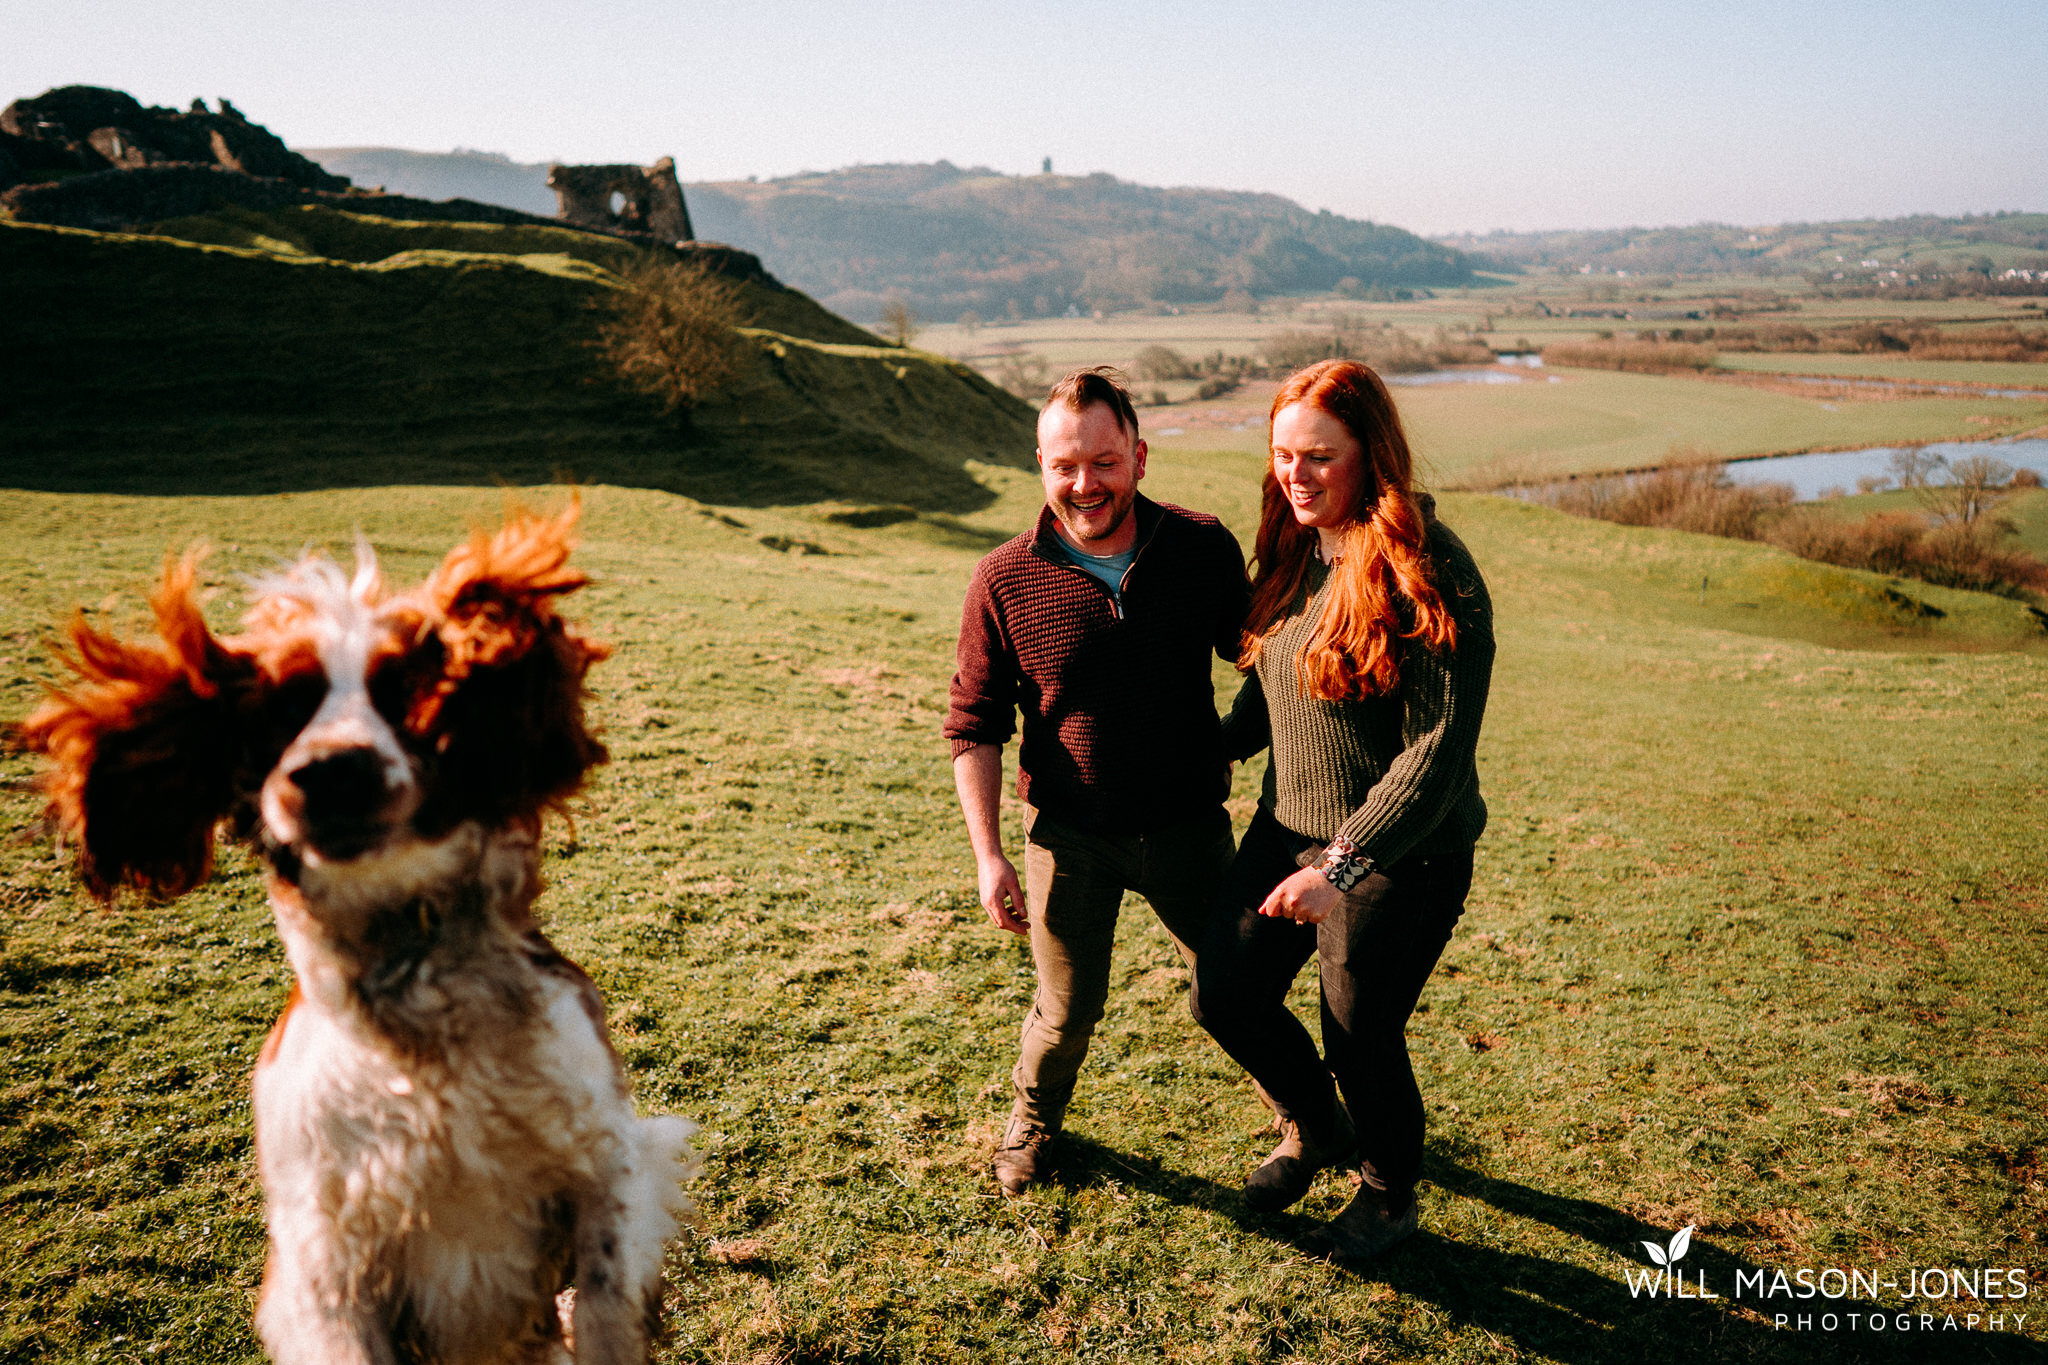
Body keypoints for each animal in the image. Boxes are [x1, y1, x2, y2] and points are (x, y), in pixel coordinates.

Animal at [19, 505, 700, 1365]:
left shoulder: (606, 1168)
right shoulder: (328, 1265)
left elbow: (607, 1307)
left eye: (408, 689)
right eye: (281, 711)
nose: (333, 770)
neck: (422, 1020)